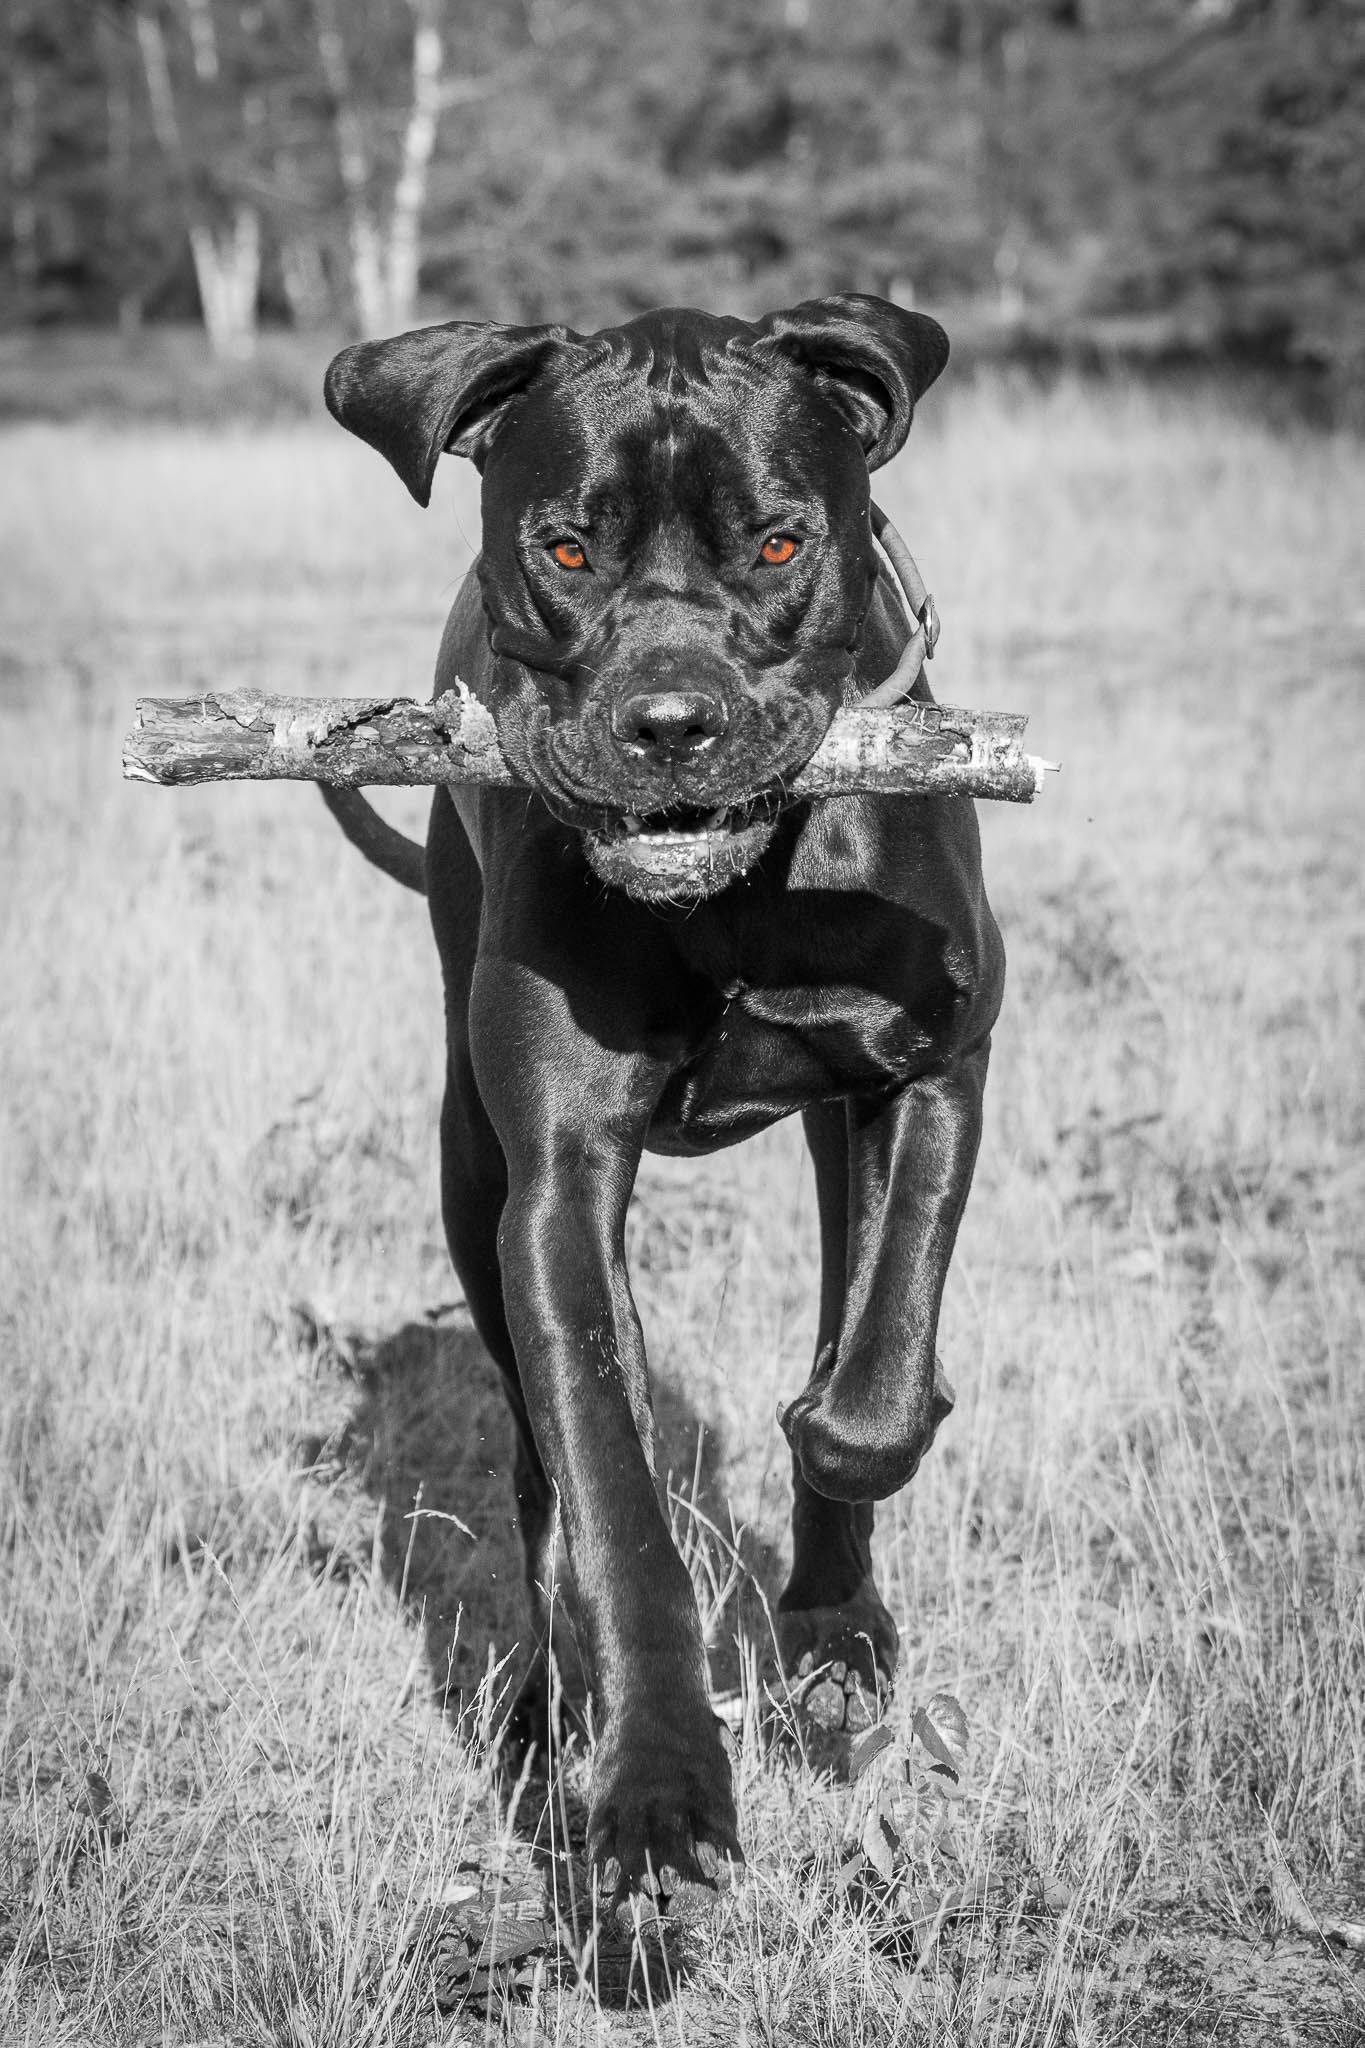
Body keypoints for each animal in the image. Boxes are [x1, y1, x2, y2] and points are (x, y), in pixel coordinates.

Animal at [322, 295, 1004, 1904]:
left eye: (781, 543)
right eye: (567, 550)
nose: (673, 721)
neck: (736, 896)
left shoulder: (937, 1060)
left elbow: (876, 1366)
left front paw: (830, 1525)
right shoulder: (557, 1187)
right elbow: (613, 1498)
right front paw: (656, 1784)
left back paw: (836, 1623)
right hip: (467, 1173)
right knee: (537, 1473)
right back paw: (554, 1697)